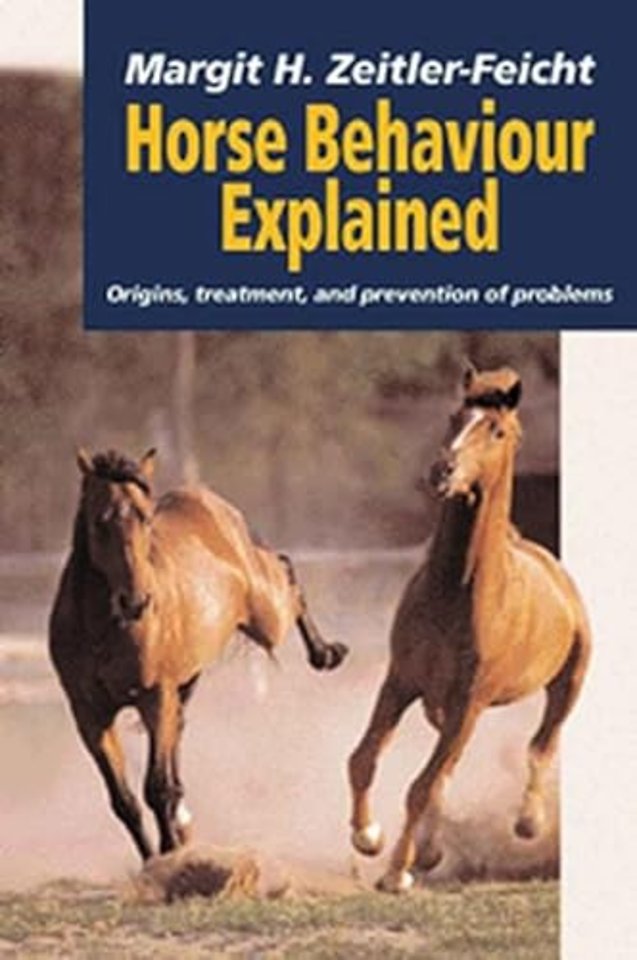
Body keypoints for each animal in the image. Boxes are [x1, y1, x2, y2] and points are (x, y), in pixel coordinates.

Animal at [49, 448, 348, 861]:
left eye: (145, 517)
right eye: (100, 520)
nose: (135, 601)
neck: (101, 629)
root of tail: (212, 503)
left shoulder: (155, 697)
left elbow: (156, 788)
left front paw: (171, 853)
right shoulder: (89, 715)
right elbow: (124, 801)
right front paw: (153, 859)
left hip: (266, 617)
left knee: (286, 570)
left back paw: (326, 652)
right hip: (188, 681)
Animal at [348, 364, 591, 893]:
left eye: (496, 430)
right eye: (455, 416)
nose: (443, 472)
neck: (456, 594)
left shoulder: (469, 701)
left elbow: (420, 787)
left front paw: (395, 873)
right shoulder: (402, 682)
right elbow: (365, 758)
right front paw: (369, 837)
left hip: (566, 682)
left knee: (541, 743)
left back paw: (528, 823)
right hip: (440, 708)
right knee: (448, 771)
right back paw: (430, 850)